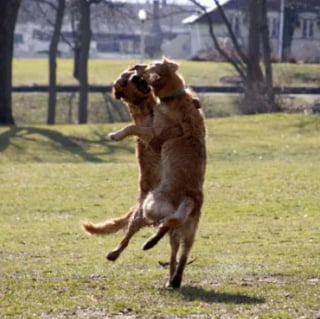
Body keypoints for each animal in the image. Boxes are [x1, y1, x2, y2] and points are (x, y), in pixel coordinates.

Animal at [109, 58, 206, 290]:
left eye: (149, 66)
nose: (136, 68)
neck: (176, 96)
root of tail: (189, 197)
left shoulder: (154, 136)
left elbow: (131, 127)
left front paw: (116, 135)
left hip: (150, 206)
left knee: (163, 224)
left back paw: (144, 245)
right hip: (189, 230)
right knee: (180, 249)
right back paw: (174, 279)